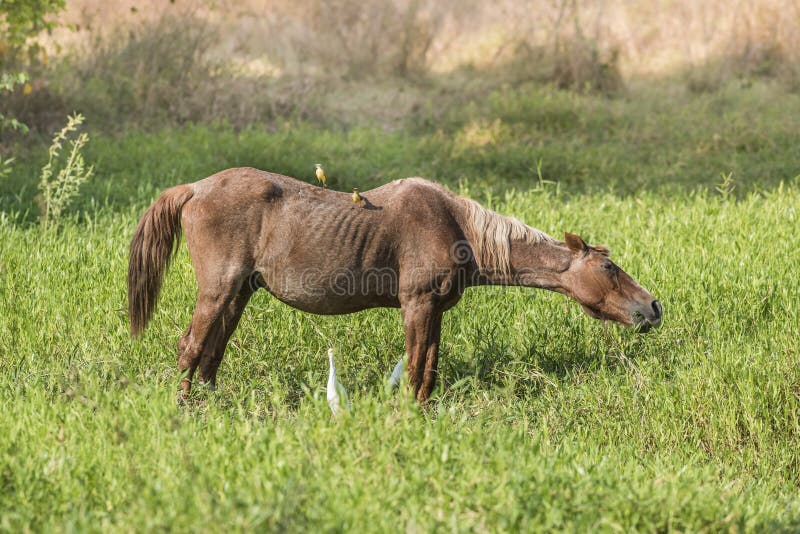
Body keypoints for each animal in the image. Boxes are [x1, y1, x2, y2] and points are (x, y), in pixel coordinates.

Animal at [126, 168, 664, 402]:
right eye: (610, 269)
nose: (653, 307)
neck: (459, 229)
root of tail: (195, 188)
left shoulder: (436, 310)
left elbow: (428, 369)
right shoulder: (417, 305)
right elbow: (415, 366)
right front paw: (407, 415)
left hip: (239, 293)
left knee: (211, 351)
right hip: (218, 290)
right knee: (191, 346)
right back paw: (183, 409)